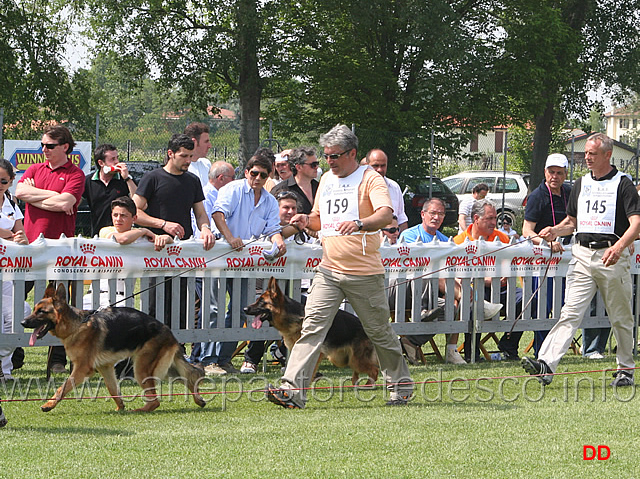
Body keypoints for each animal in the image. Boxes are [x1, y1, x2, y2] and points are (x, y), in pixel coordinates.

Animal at [21, 284, 206, 414]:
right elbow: (113, 389)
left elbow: (63, 387)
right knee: (190, 376)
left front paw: (49, 404)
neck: (76, 325)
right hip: (164, 368)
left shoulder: (81, 369)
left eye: (41, 312)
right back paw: (199, 400)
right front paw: (120, 407)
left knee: (155, 400)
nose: (23, 322)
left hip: (143, 369)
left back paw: (139, 410)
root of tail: (169, 332)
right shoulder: (106, 368)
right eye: (35, 310)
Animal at [242, 278, 378, 386]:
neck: (295, 317)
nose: (244, 309)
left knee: (374, 371)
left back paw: (367, 386)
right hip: (344, 359)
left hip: (355, 360)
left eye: (261, 302)